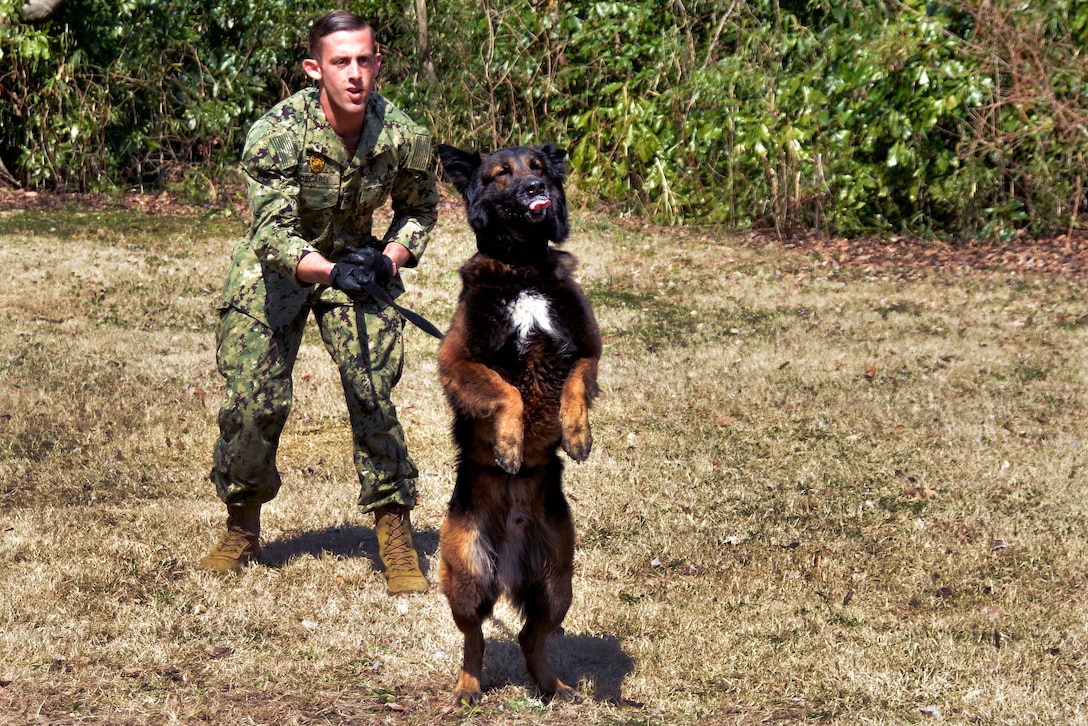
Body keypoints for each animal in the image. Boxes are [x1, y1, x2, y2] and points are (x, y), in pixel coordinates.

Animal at [435, 141, 604, 705]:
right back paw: (468, 688)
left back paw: (555, 687)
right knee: (476, 641)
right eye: (500, 174)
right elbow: (507, 393)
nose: (538, 189)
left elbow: (574, 384)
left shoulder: (588, 350)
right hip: (466, 577)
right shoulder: (457, 360)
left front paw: (577, 434)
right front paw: (509, 446)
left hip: (557, 582)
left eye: (538, 167)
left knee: (533, 637)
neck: (522, 268)